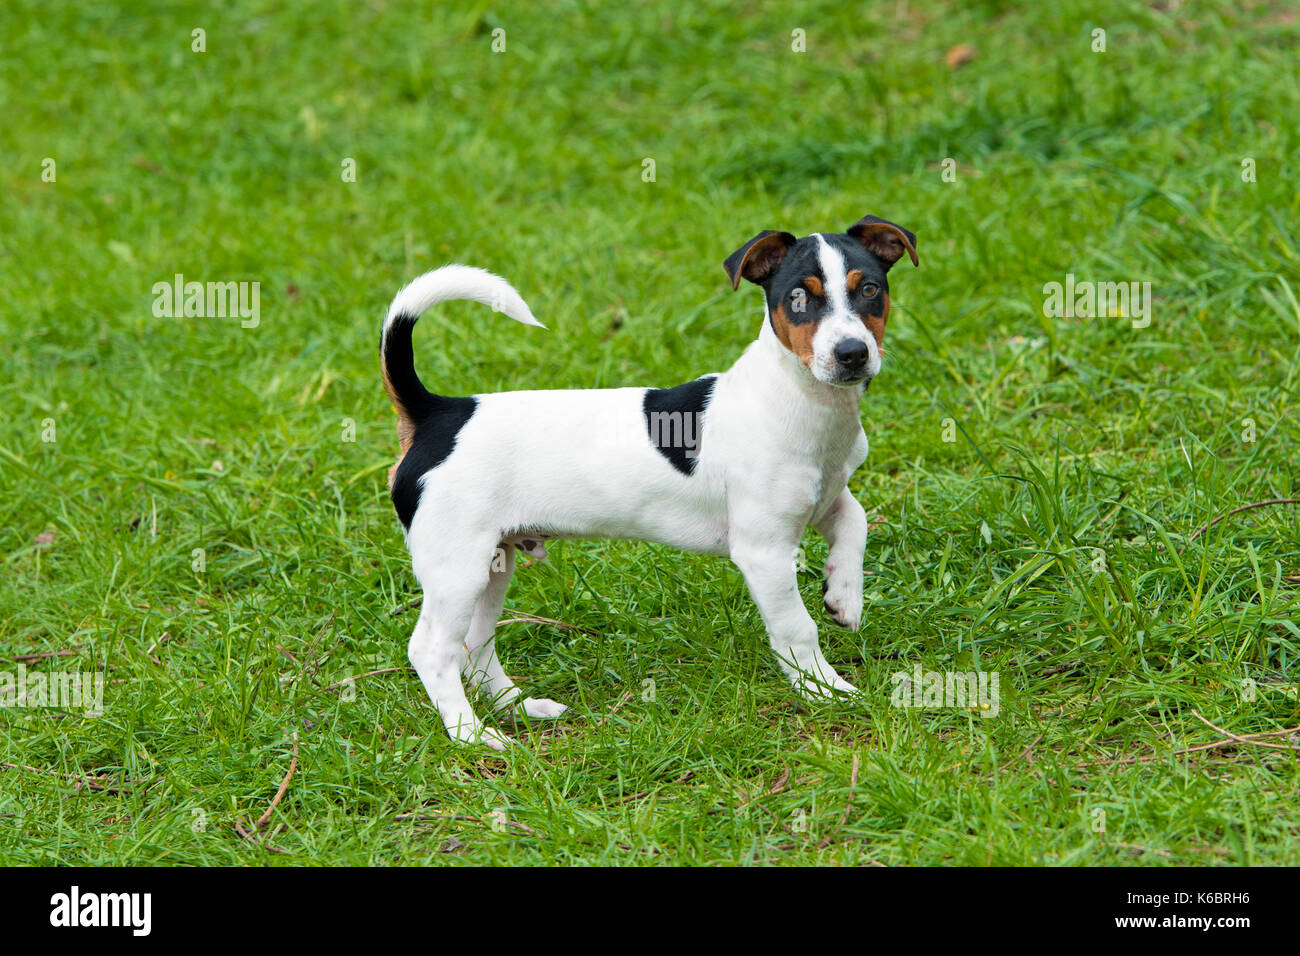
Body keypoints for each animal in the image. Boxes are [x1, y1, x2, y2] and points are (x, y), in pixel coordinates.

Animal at [379, 214, 920, 749]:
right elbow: (796, 629)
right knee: (432, 650)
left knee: (473, 645)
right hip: (458, 567)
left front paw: (844, 596)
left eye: (869, 289)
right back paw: (471, 733)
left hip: (494, 562)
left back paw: (520, 707)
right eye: (798, 298)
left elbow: (856, 521)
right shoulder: (764, 551)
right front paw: (824, 689)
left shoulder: (827, 497)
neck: (805, 400)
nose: (852, 353)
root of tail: (437, 412)